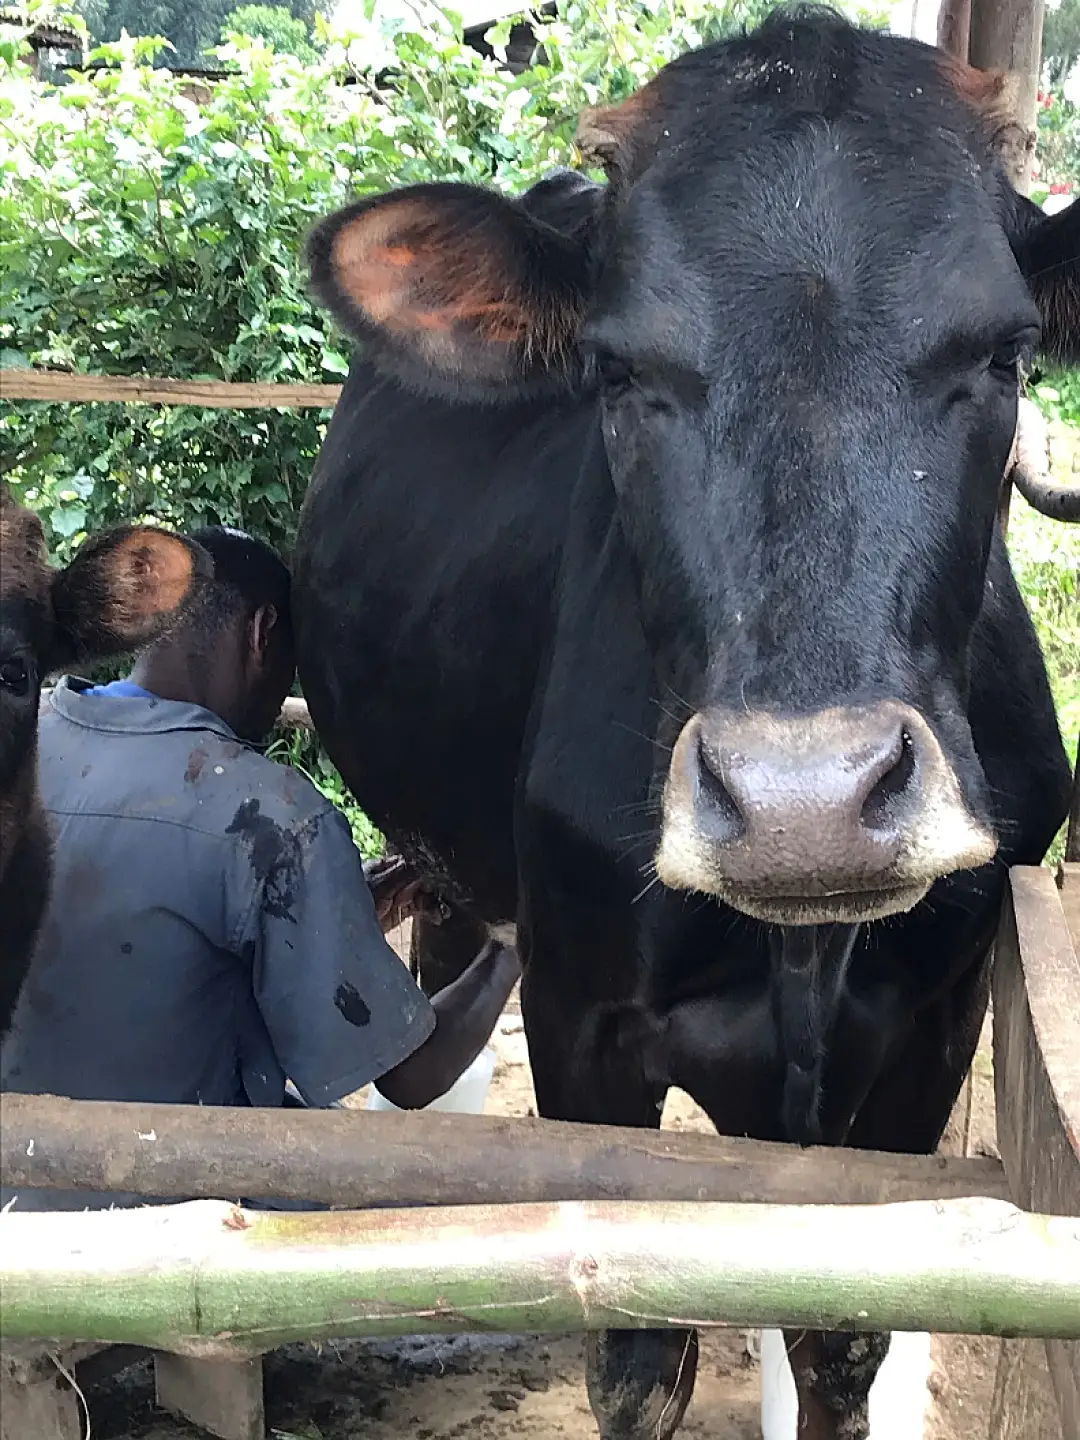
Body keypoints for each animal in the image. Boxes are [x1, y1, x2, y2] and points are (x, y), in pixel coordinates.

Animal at [292, 14, 1077, 1440]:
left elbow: (840, 1341)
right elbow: (637, 1356)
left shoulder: (929, 1030)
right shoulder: (583, 1023)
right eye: (616, 369)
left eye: (1003, 354)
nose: (804, 807)